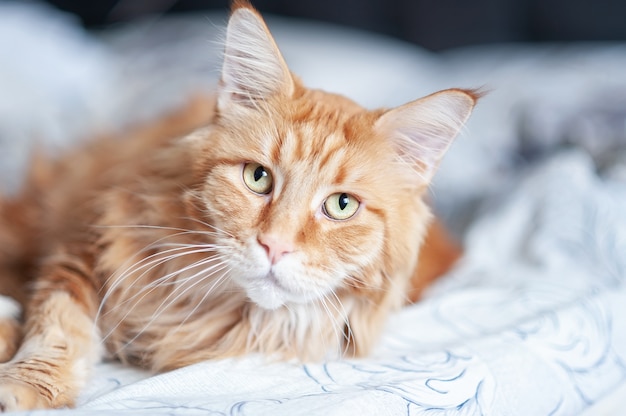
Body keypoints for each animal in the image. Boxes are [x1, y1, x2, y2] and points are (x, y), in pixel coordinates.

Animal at [0, 0, 476, 410]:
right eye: (257, 177)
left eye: (342, 205)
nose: (275, 246)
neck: (213, 310)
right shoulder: (83, 254)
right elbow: (55, 328)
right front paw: (23, 384)